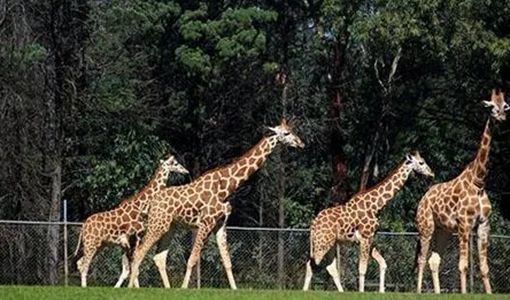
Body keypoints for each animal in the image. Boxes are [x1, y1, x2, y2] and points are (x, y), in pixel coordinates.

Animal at [73, 154, 189, 288]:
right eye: (175, 163)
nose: (186, 171)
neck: (141, 206)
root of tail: (84, 227)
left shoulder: (125, 244)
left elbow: (127, 270)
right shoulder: (135, 238)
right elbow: (135, 268)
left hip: (99, 245)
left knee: (80, 262)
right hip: (91, 243)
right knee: (84, 265)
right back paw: (84, 287)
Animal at [127, 118, 304, 288]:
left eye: (292, 130)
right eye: (286, 133)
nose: (300, 143)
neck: (226, 187)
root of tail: (151, 203)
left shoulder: (221, 224)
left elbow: (227, 261)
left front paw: (235, 289)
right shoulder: (205, 223)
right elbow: (192, 259)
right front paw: (184, 288)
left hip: (169, 227)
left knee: (159, 257)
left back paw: (165, 288)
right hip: (157, 224)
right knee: (139, 253)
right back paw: (130, 287)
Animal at [302, 151, 434, 292]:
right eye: (421, 162)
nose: (431, 173)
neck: (375, 206)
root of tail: (314, 224)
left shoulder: (370, 238)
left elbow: (383, 263)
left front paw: (381, 291)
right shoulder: (364, 237)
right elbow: (362, 269)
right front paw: (361, 292)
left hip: (331, 243)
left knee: (330, 267)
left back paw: (340, 291)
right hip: (322, 242)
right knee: (311, 264)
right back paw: (304, 290)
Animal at [416, 90, 508, 294]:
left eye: (505, 106)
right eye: (491, 106)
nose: (501, 117)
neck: (479, 181)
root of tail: (423, 199)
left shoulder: (483, 224)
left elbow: (484, 267)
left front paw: (489, 293)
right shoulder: (464, 224)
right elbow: (463, 265)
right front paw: (465, 293)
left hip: (442, 231)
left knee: (434, 260)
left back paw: (437, 293)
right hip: (426, 227)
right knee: (421, 259)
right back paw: (417, 292)